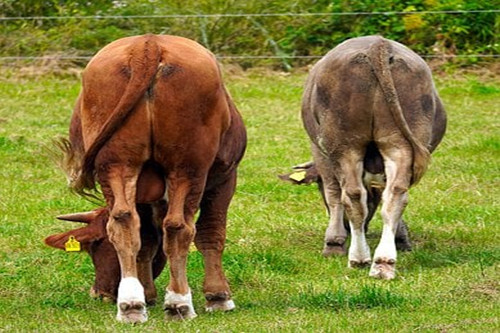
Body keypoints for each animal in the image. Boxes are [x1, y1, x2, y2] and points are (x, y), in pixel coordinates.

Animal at [48, 33, 246, 322]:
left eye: (98, 245)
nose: (101, 292)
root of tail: (148, 45)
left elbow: (146, 240)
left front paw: (148, 293)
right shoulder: (225, 177)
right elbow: (211, 233)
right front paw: (218, 296)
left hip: (117, 164)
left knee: (124, 222)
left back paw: (131, 303)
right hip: (187, 167)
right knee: (178, 227)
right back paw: (178, 302)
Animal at [298, 35, 448, 278]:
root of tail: (377, 44)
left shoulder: (320, 152)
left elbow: (333, 192)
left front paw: (334, 243)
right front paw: (401, 238)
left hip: (345, 144)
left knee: (352, 195)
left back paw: (359, 257)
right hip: (399, 143)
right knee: (396, 195)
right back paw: (383, 262)